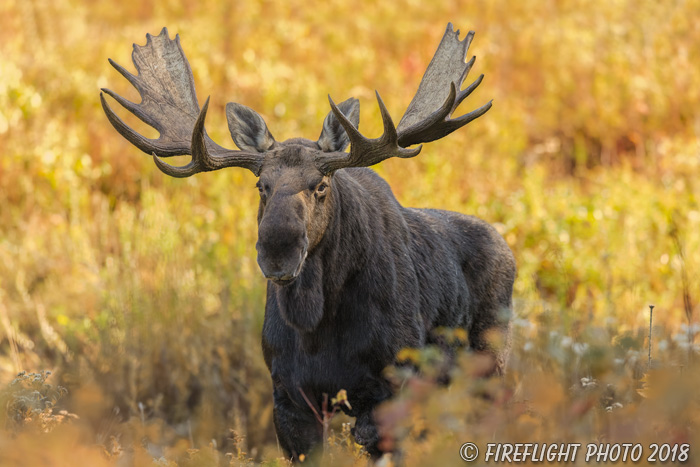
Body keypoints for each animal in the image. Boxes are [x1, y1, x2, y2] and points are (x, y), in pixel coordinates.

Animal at [100, 23, 516, 458]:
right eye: (261, 185)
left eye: (320, 185)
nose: (277, 252)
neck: (317, 324)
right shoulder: (289, 396)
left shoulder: (390, 387)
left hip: (488, 364)